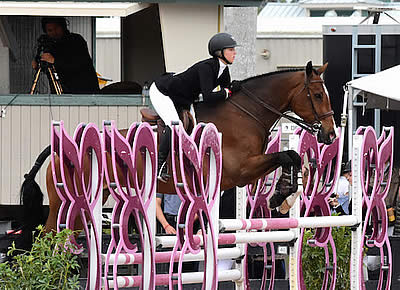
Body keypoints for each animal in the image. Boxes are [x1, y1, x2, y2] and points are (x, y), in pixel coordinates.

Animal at [20, 60, 336, 245]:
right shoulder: (241, 170)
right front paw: (281, 195)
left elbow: (292, 156)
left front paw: (283, 196)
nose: (330, 134)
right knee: (49, 236)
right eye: (317, 95)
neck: (246, 114)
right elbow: (286, 156)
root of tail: (59, 146)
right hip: (66, 201)